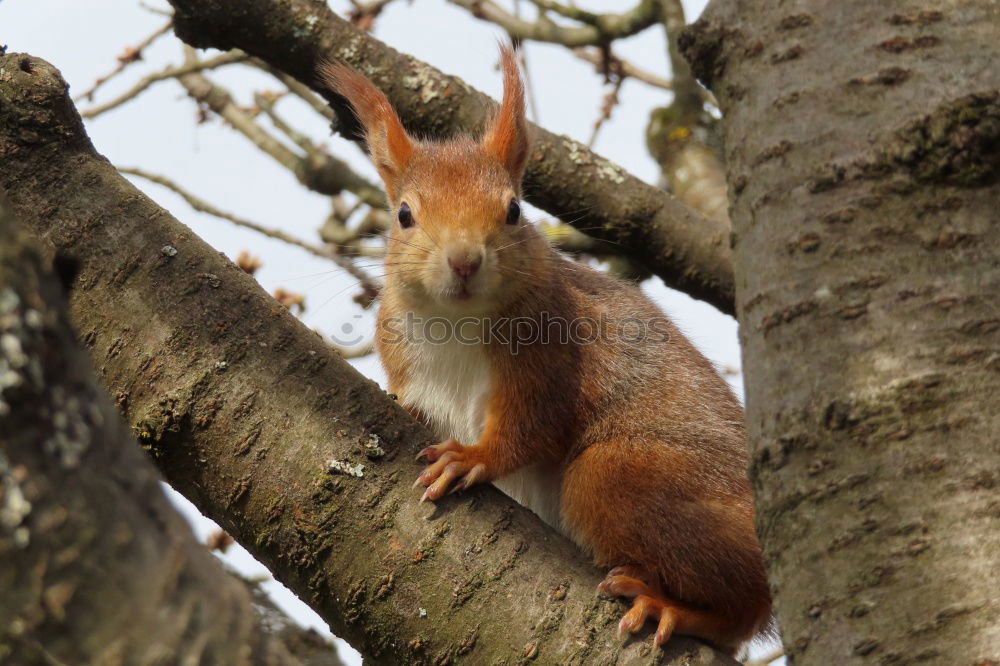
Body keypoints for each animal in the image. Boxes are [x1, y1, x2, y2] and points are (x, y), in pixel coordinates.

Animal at [320, 48, 772, 652]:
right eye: (404, 215)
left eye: (513, 209)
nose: (465, 260)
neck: (454, 322)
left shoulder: (553, 358)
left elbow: (530, 426)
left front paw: (475, 458)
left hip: (618, 477)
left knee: (743, 611)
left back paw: (670, 608)